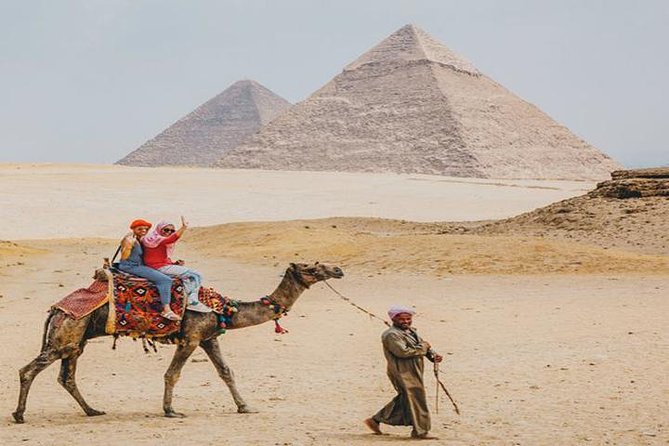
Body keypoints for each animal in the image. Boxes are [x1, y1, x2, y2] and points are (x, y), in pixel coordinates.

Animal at [13, 262, 344, 423]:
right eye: (311, 268)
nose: (338, 270)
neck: (224, 309)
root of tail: (56, 308)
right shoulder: (191, 338)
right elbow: (172, 374)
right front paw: (170, 411)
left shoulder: (209, 338)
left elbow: (226, 372)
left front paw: (245, 406)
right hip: (66, 335)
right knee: (29, 370)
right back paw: (19, 415)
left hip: (75, 339)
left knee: (66, 376)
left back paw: (92, 411)